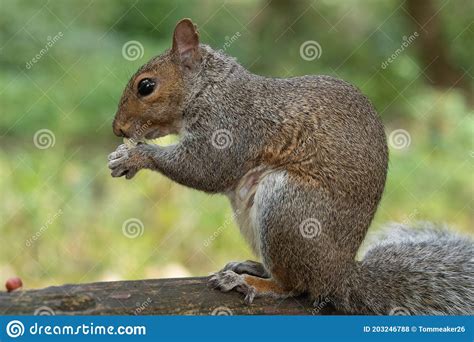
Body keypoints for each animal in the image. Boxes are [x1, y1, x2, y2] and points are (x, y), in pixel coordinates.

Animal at [108, 17, 474, 314]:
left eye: (146, 86)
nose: (118, 129)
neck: (210, 88)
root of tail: (339, 276)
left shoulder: (231, 127)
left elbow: (208, 168)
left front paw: (134, 156)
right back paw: (253, 268)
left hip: (289, 207)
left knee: (296, 287)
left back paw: (253, 284)